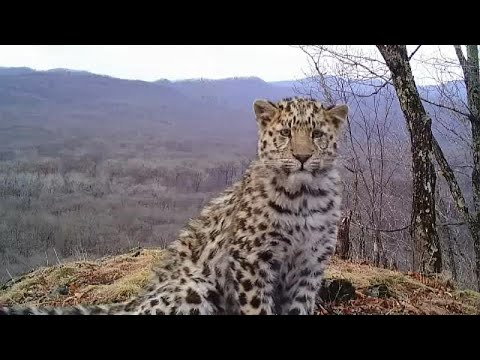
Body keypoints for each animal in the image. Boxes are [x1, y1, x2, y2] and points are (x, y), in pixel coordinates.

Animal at [0, 96, 346, 316]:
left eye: (317, 133)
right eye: (286, 133)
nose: (302, 157)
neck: (304, 196)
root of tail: (136, 298)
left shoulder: (310, 266)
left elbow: (299, 307)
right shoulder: (251, 261)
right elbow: (257, 308)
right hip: (195, 287)